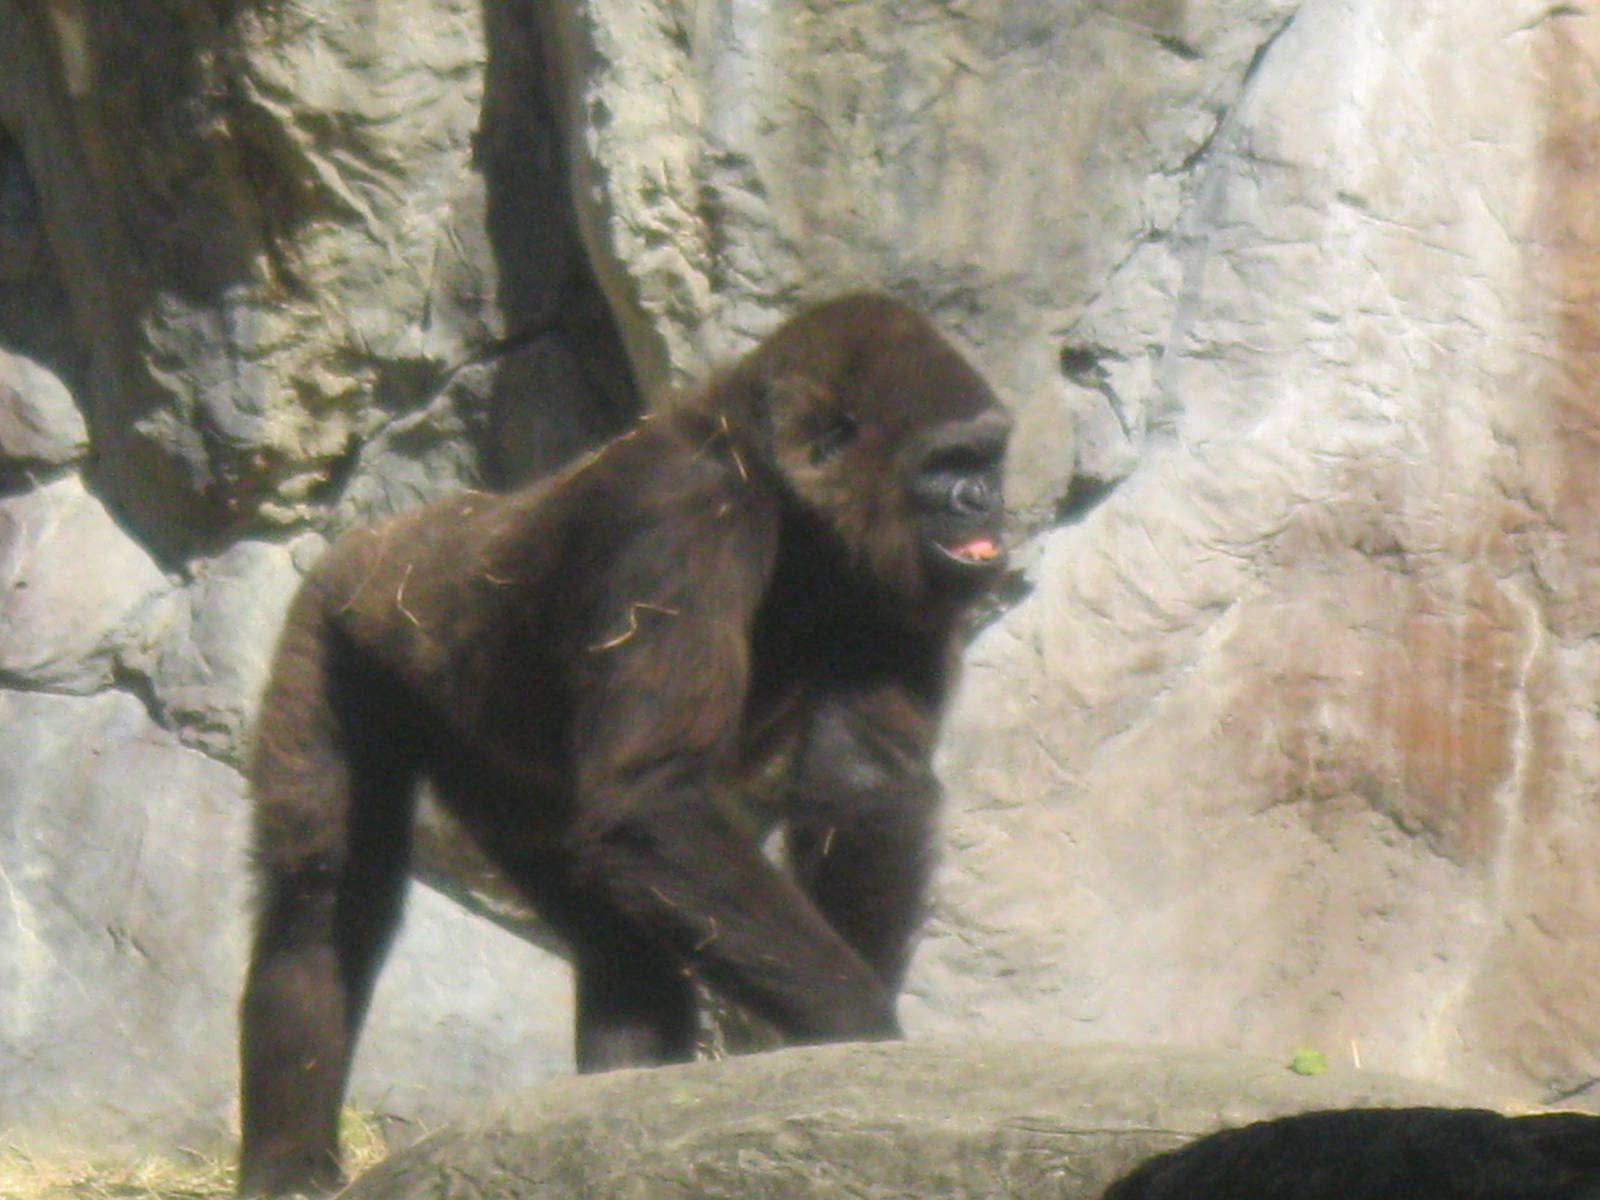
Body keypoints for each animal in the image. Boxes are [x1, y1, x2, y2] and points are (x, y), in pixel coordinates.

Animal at [236, 293, 1012, 1197]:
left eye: (989, 457)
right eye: (944, 464)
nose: (986, 501)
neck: (773, 483)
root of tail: (378, 537)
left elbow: (863, 782)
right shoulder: (676, 518)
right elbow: (657, 798)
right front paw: (858, 1028)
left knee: (616, 939)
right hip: (336, 618)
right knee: (319, 897)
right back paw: (287, 1162)